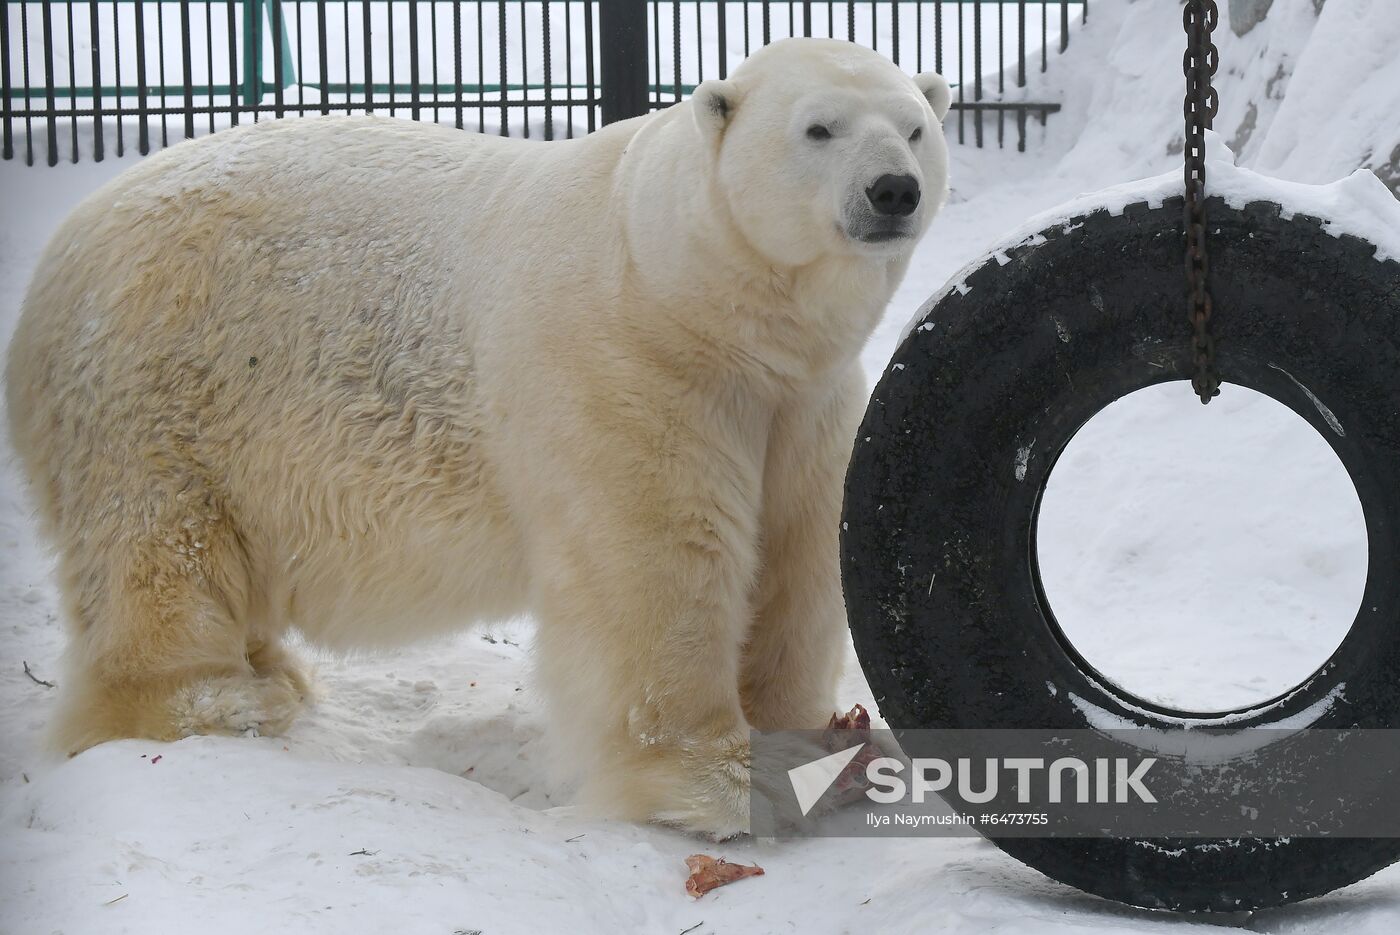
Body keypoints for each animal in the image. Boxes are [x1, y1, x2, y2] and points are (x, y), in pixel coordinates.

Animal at [5, 38, 952, 839]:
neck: (687, 287)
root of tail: (58, 256)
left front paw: (820, 748)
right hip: (157, 390)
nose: (893, 190)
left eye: (914, 127)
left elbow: (798, 546)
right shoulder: (627, 367)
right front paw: (721, 784)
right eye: (819, 128)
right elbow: (659, 560)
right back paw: (223, 699)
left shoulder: (801, 398)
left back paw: (269, 670)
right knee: (164, 555)